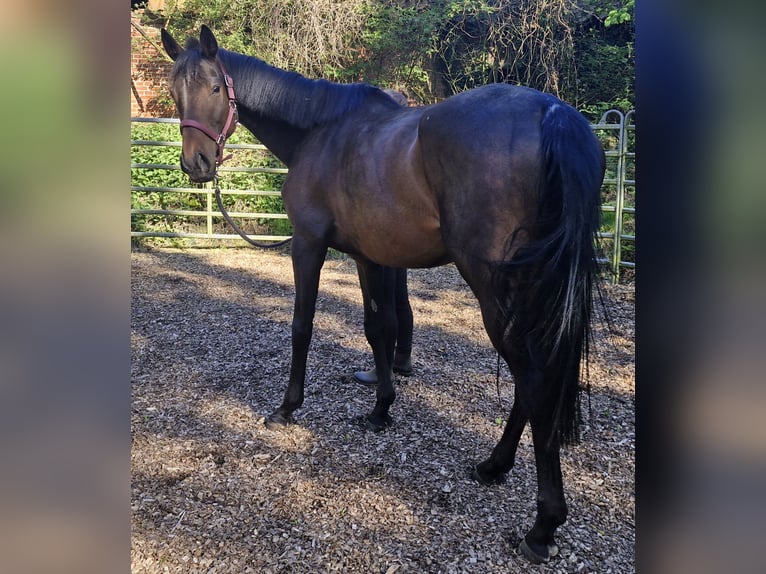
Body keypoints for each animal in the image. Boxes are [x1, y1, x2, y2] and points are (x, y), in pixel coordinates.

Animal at [160, 26, 605, 564]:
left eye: (215, 88)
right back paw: (494, 466)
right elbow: (379, 330)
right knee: (534, 376)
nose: (197, 164)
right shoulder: (370, 257)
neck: (322, 131)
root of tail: (552, 112)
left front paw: (287, 408)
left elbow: (302, 326)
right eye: (175, 92)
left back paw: (542, 525)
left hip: (496, 287)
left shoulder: (308, 244)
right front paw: (380, 410)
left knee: (535, 376)